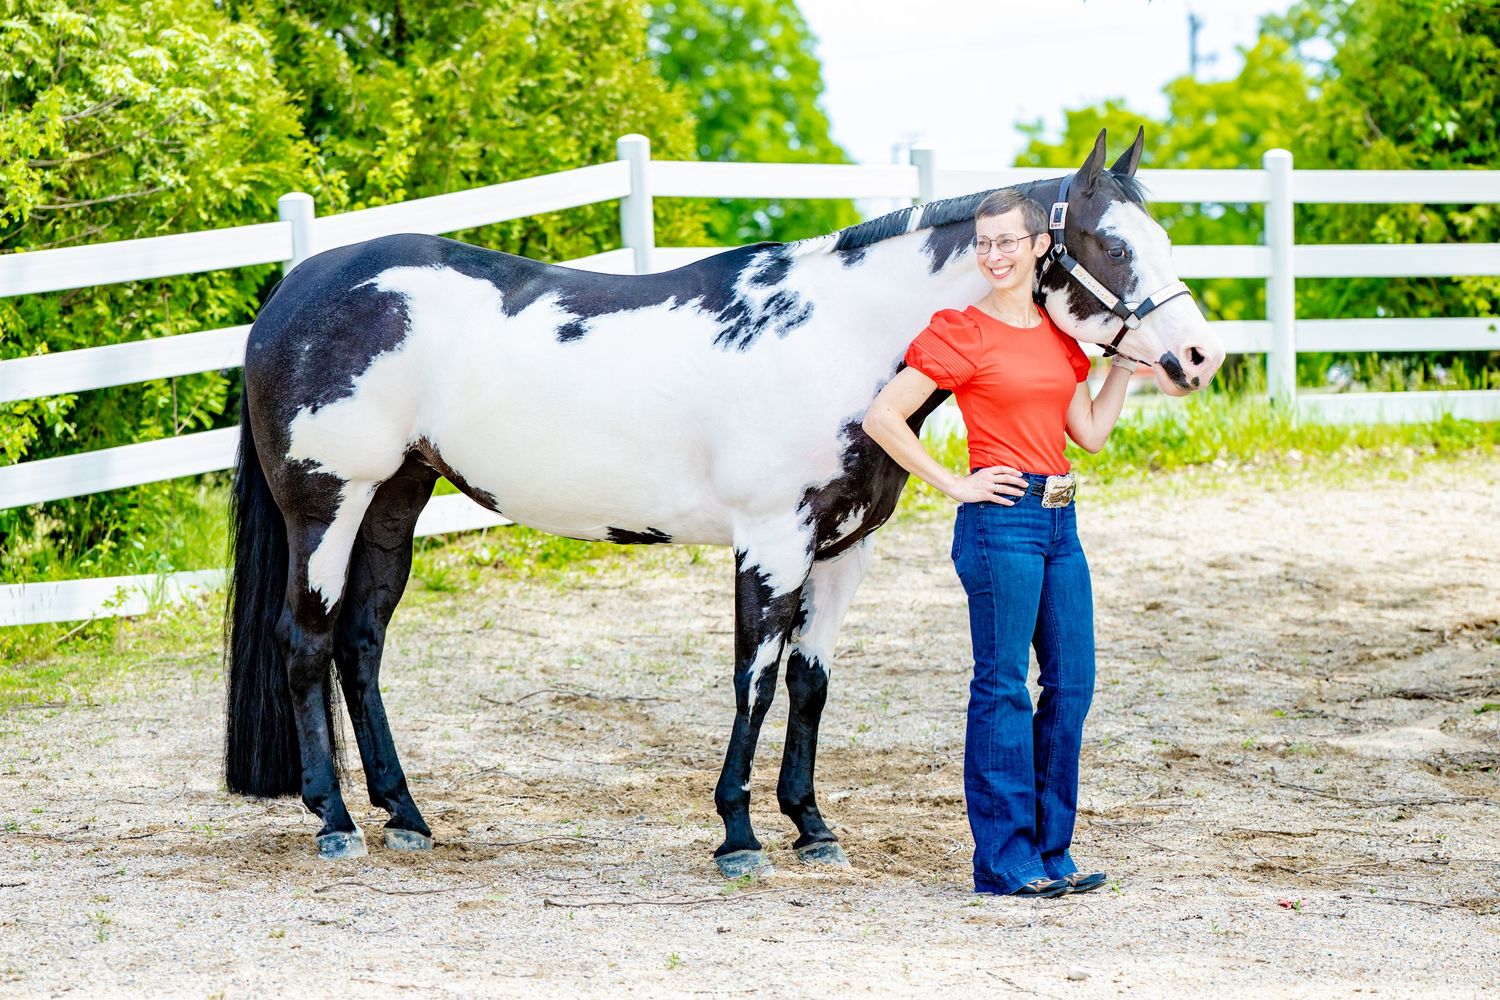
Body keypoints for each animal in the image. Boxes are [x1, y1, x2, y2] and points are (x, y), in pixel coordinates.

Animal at [224, 128, 1225, 877]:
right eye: (1112, 246)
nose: (1197, 357)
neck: (833, 338)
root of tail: (295, 289)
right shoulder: (771, 541)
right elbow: (755, 679)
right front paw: (740, 836)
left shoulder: (843, 549)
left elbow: (811, 682)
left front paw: (812, 828)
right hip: (329, 503)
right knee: (306, 641)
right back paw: (336, 822)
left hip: (397, 497)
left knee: (360, 644)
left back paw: (405, 815)